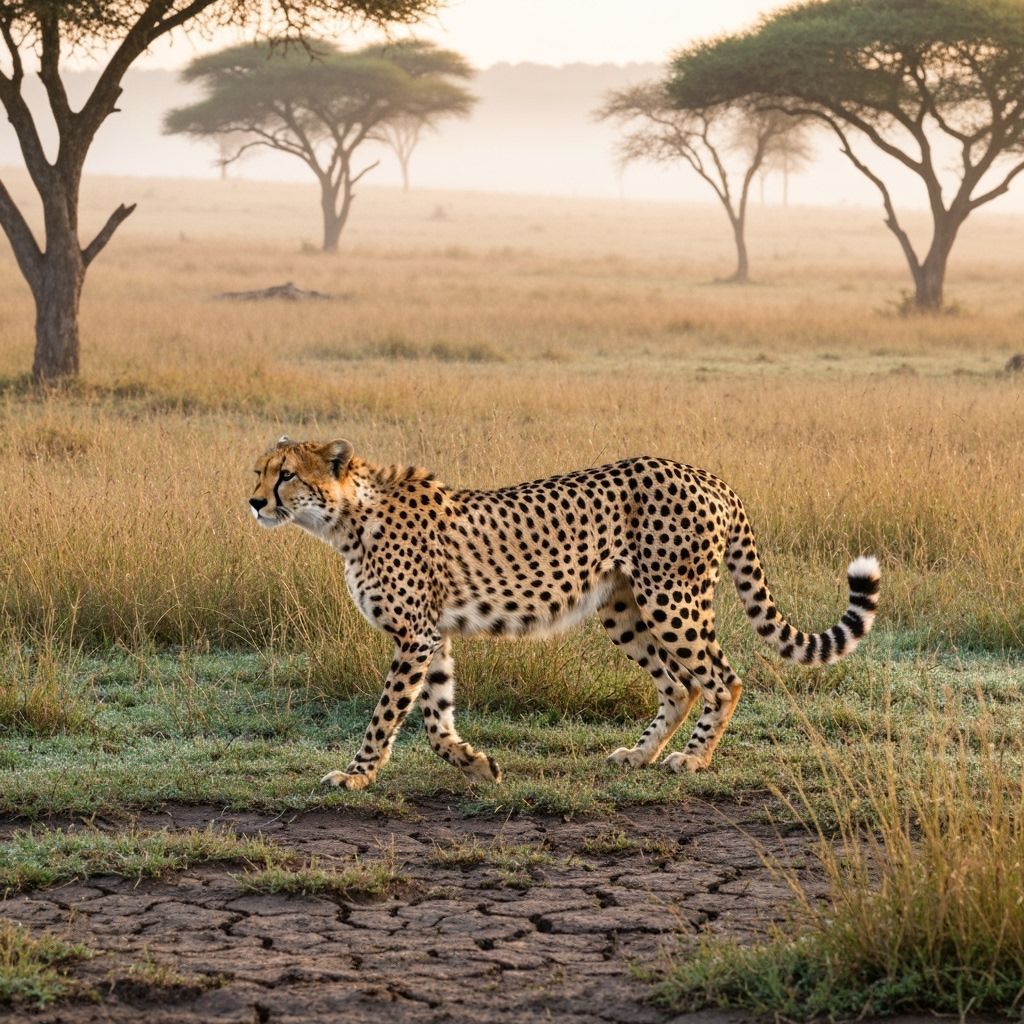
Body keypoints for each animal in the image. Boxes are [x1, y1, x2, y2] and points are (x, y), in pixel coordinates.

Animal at [249, 437, 880, 790]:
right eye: (259, 470)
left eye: (287, 474)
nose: (254, 502)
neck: (346, 517)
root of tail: (708, 475)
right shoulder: (434, 635)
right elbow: (435, 716)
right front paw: (475, 764)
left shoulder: (414, 634)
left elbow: (388, 716)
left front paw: (355, 774)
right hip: (622, 608)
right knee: (679, 685)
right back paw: (640, 754)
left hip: (671, 600)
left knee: (724, 678)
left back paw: (693, 759)